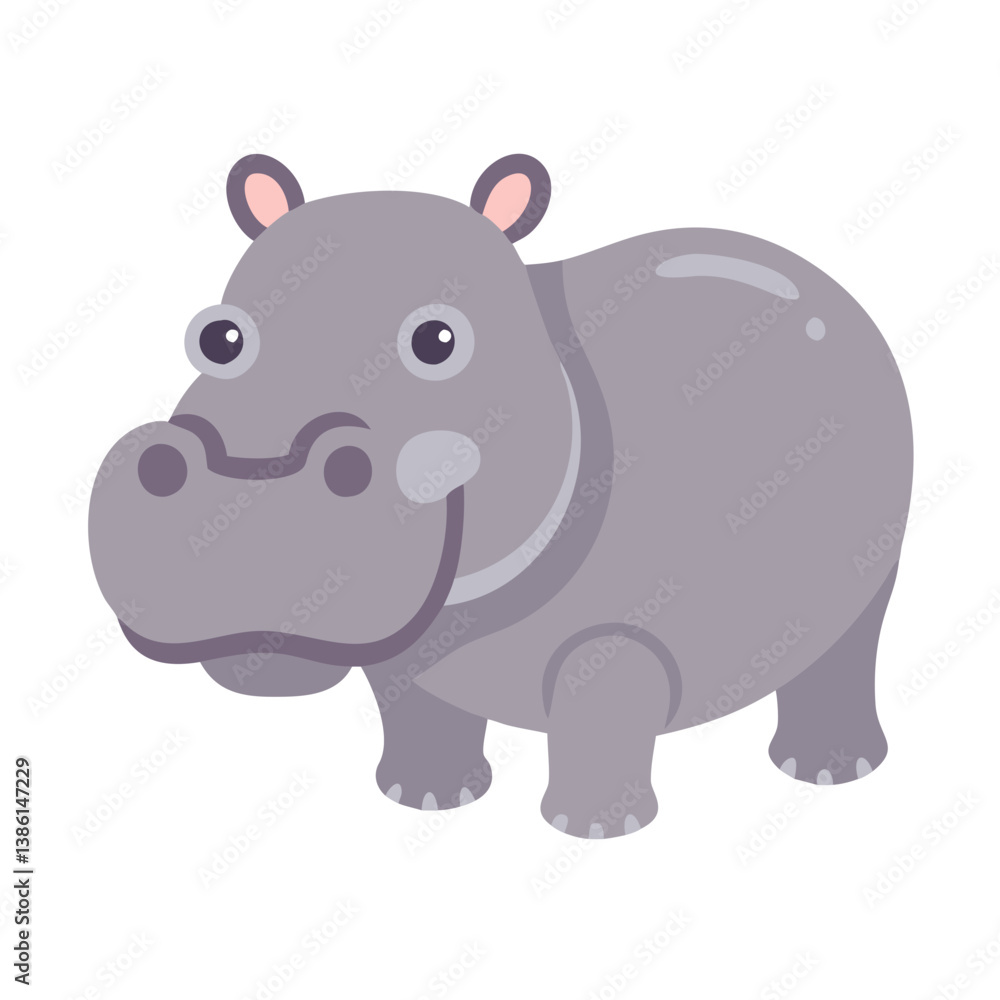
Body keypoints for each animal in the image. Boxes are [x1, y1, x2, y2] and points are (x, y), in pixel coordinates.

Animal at [89, 152, 912, 838]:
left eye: (439, 340)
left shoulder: (616, 637)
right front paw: (426, 800)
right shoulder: (405, 648)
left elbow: (600, 708)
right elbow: (412, 708)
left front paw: (595, 832)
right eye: (217, 337)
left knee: (849, 648)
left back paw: (827, 770)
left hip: (876, 566)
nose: (252, 481)